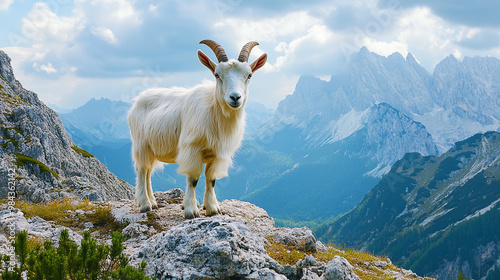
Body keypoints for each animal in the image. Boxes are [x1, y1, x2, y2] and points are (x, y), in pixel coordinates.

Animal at [129, 40, 268, 219]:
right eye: (217, 75)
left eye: (249, 75)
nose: (235, 97)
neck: (214, 111)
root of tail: (137, 100)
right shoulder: (192, 149)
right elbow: (193, 178)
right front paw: (190, 210)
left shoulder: (217, 154)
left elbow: (211, 179)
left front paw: (212, 208)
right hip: (141, 144)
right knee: (141, 169)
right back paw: (145, 205)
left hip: (152, 148)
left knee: (148, 171)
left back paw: (153, 202)